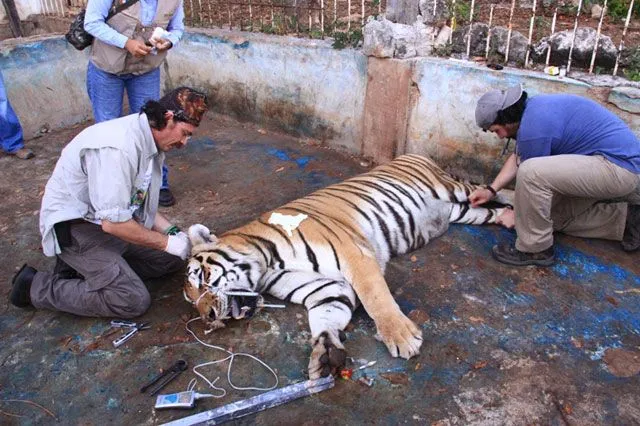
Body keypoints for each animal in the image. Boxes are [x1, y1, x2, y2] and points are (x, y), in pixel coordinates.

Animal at [184, 154, 510, 380]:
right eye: (192, 301)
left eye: (202, 278)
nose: (209, 317)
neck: (265, 265)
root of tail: (413, 154)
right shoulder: (327, 287)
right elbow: (327, 316)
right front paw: (324, 353)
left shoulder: (355, 254)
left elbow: (376, 299)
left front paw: (402, 338)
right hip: (463, 211)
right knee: (486, 208)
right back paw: (509, 218)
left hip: (450, 187)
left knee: (485, 188)